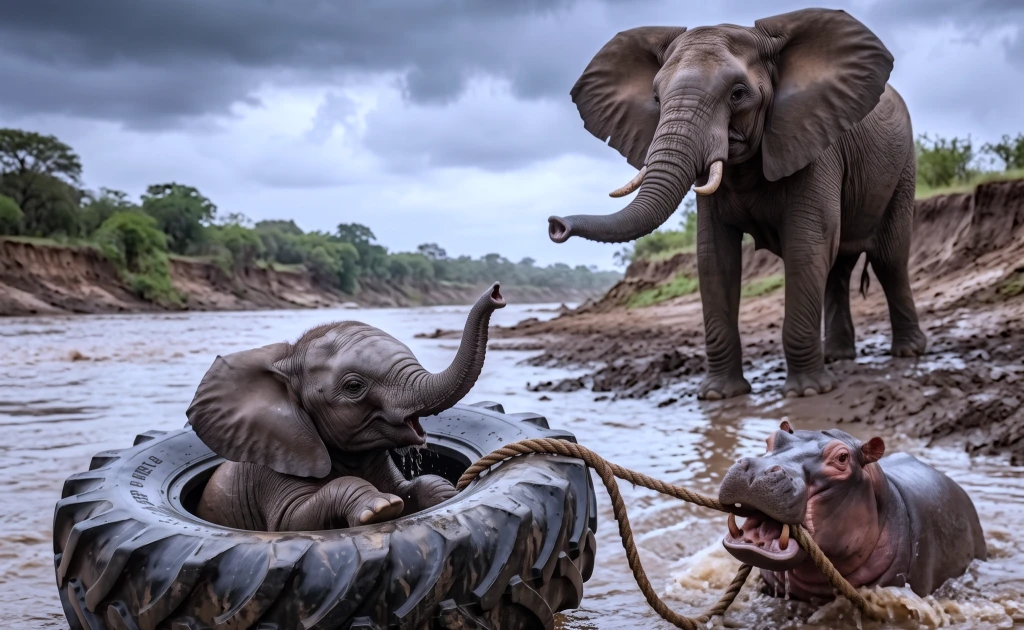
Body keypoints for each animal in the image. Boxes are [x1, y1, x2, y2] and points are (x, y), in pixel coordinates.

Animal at [185, 283, 505, 532]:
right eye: (353, 387)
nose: (497, 293)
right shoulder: (273, 466)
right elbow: (293, 521)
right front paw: (382, 508)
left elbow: (411, 490)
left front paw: (445, 493)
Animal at [548, 8, 927, 399]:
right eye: (655, 98)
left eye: (738, 94)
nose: (556, 225)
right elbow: (714, 258)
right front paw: (719, 395)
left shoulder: (814, 141)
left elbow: (805, 247)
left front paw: (806, 392)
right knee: (838, 267)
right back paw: (838, 357)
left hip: (903, 168)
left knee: (889, 259)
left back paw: (907, 352)